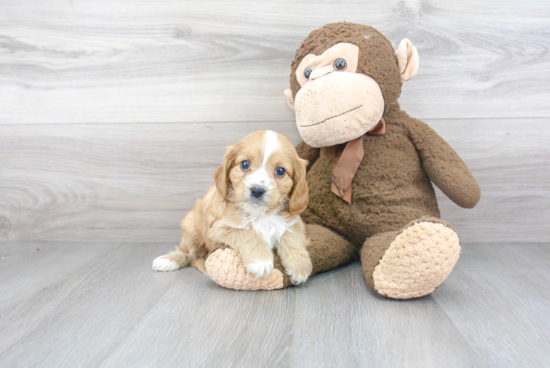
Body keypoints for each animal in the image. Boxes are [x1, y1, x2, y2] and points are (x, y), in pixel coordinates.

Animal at [153, 129, 312, 284]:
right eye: (245, 164)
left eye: (280, 171)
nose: (257, 190)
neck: (260, 214)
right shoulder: (218, 229)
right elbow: (246, 233)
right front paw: (260, 260)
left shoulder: (295, 222)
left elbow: (290, 235)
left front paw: (300, 265)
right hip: (191, 229)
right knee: (188, 253)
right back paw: (168, 261)